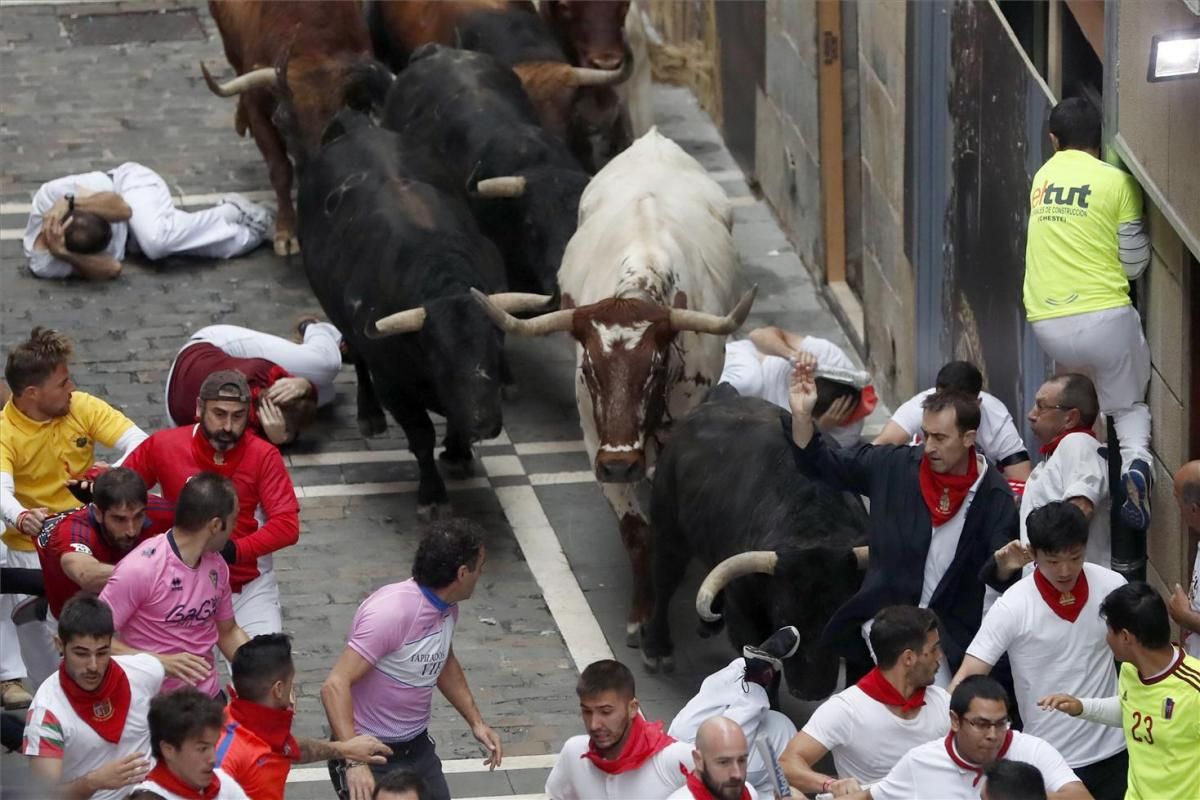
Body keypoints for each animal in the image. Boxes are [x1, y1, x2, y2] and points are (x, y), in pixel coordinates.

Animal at [200, 0, 374, 255]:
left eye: (335, 121)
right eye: (282, 122)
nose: (313, 176)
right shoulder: (259, 110)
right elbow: (280, 170)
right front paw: (287, 232)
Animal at [472, 130, 753, 642]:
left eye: (655, 368)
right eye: (589, 370)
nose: (621, 465)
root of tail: (653, 139)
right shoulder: (594, 439)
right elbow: (636, 530)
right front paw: (641, 613)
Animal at [643, 393, 868, 700]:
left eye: (837, 616)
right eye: (782, 615)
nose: (812, 691)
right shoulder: (745, 613)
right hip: (668, 528)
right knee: (665, 580)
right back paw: (657, 649)